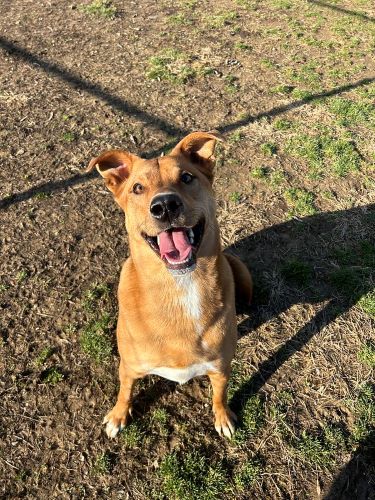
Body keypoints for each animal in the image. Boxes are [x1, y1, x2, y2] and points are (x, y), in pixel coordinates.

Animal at [88, 132, 253, 438]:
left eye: (187, 177)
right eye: (137, 187)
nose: (165, 206)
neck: (180, 287)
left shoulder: (221, 367)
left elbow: (220, 394)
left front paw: (223, 416)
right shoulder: (129, 366)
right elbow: (125, 391)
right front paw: (118, 415)